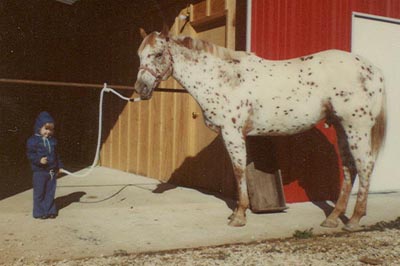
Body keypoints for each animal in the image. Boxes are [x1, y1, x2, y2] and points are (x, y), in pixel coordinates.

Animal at [135, 26, 388, 232]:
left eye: (158, 54)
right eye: (139, 55)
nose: (141, 89)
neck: (224, 79)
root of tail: (373, 70)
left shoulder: (233, 133)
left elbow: (238, 171)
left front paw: (238, 216)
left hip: (356, 127)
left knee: (365, 165)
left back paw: (354, 220)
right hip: (341, 127)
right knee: (349, 167)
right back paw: (333, 218)